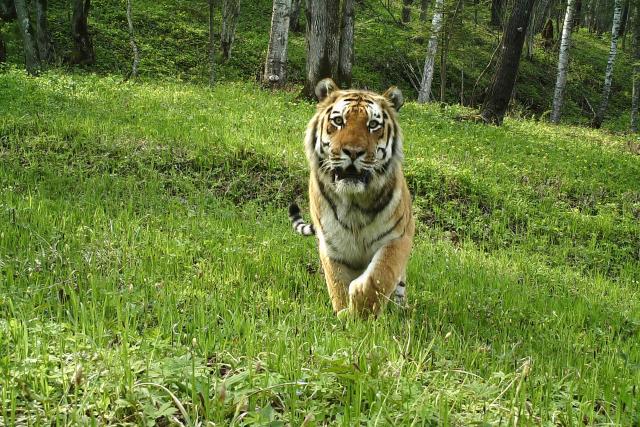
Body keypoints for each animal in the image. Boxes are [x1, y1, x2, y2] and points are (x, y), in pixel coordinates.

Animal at [289, 78, 415, 316]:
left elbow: (380, 276)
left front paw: (361, 311)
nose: (353, 152)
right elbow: (337, 283)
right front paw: (344, 315)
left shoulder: (398, 238)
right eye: (339, 121)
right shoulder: (332, 245)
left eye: (373, 125)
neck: (354, 202)